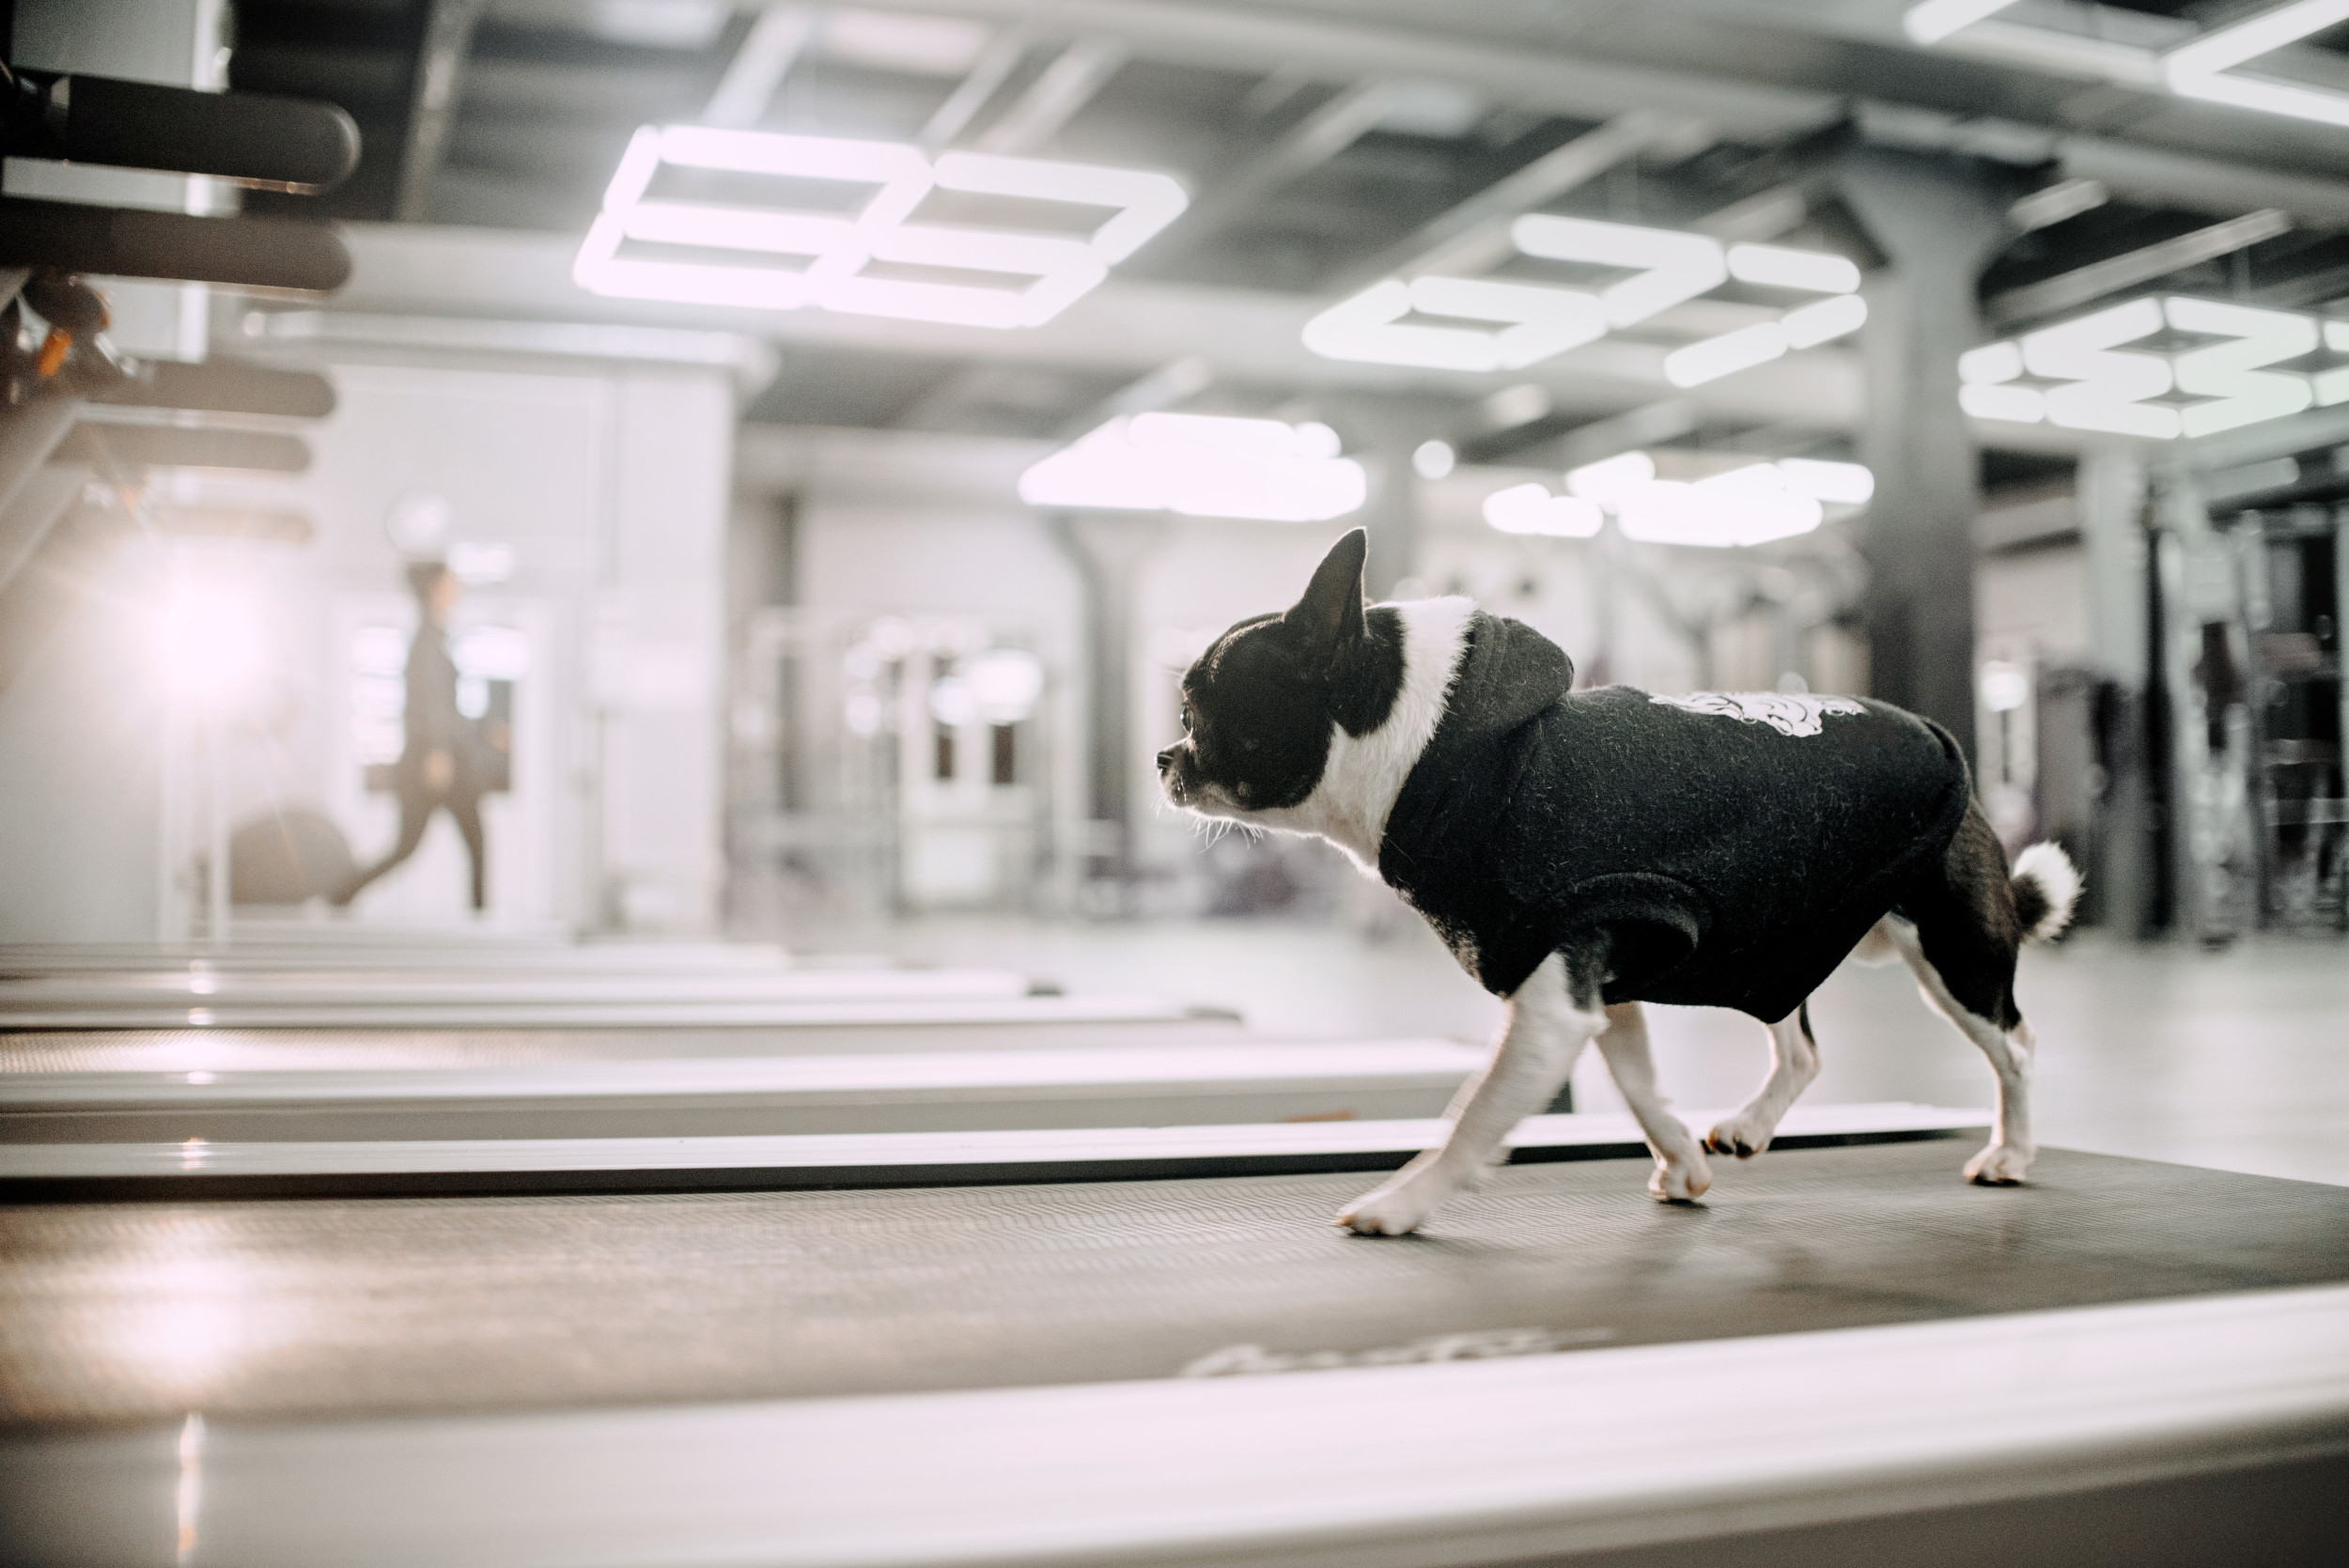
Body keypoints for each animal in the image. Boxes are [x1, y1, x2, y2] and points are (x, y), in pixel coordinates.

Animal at [1156, 530, 2077, 1239]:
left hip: (1953, 946)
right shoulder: (1599, 983)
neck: (1426, 745)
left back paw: (2012, 1150)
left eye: (1200, 710)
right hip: (1775, 930)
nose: (1163, 756)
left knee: (2018, 1044)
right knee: (1802, 1041)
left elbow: (1472, 1114)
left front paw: (1403, 1201)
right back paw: (1750, 1126)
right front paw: (1681, 1156)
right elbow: (1636, 1086)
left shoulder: (1556, 999)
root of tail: (1939, 738)